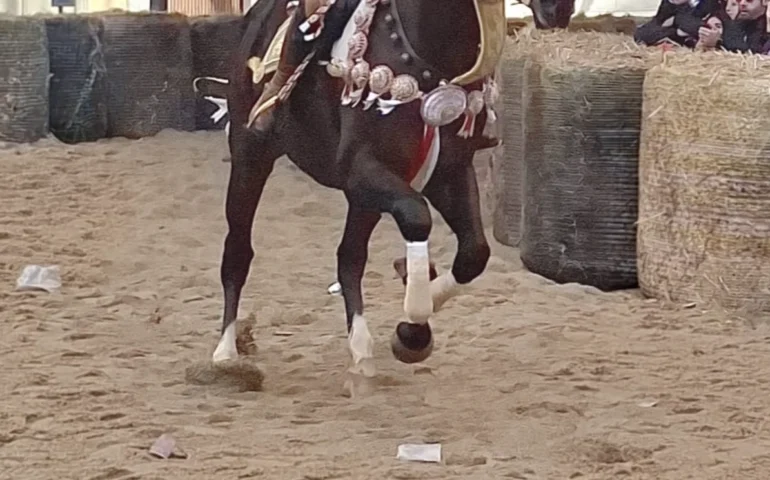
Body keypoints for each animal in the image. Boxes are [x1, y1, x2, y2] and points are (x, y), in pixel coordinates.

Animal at [212, 0, 575, 377]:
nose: (559, 9)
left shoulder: (448, 172)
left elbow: (474, 253)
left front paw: (418, 311)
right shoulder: (361, 171)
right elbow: (417, 217)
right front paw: (413, 327)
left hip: (366, 200)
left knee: (349, 258)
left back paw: (361, 350)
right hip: (251, 159)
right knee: (238, 253)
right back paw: (226, 352)